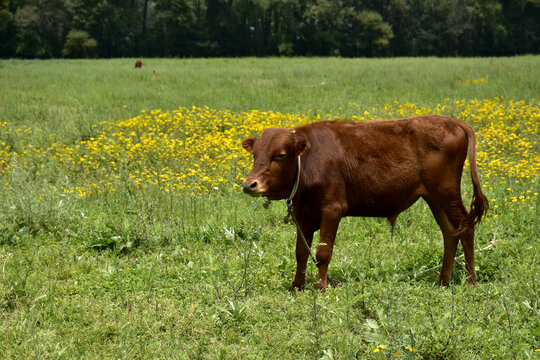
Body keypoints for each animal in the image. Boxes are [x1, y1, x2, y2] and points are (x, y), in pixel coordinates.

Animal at [244, 116, 490, 292]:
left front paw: (320, 286)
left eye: (280, 154)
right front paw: (297, 286)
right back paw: (443, 281)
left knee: (466, 227)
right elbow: (301, 252)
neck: (309, 161)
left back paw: (470, 281)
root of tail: (452, 121)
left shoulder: (332, 209)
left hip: (447, 193)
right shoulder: (302, 215)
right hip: (435, 198)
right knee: (450, 232)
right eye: (255, 154)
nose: (249, 184)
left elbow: (323, 252)